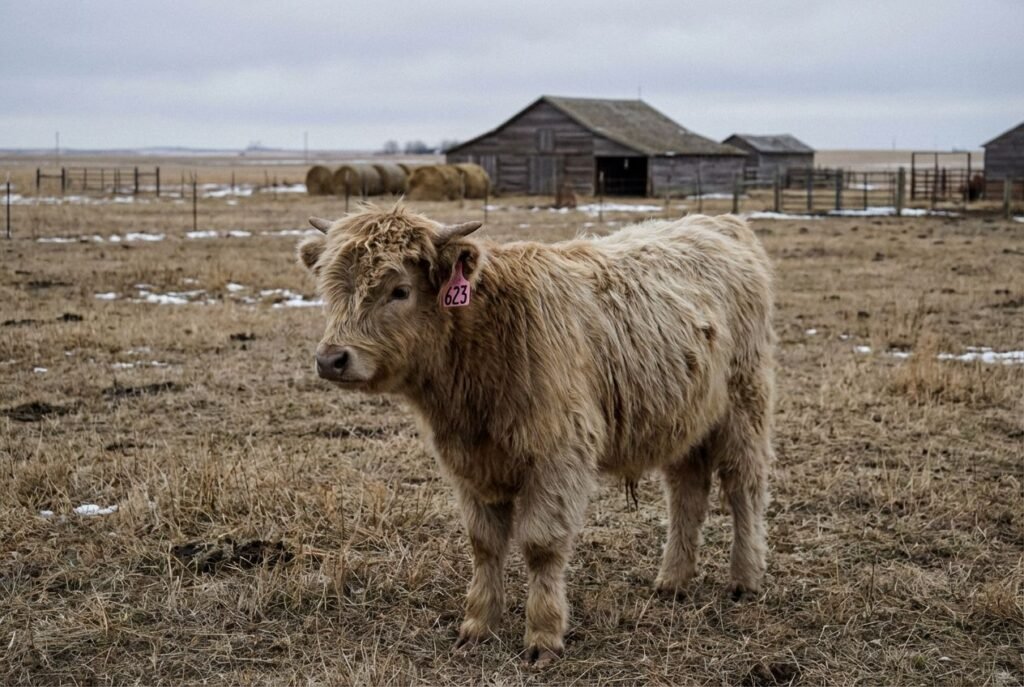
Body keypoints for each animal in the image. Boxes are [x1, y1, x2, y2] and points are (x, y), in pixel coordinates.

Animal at [296, 204, 775, 667]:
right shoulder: (471, 463)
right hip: (685, 421)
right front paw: (477, 624)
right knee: (687, 493)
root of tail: (717, 221)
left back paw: (745, 578)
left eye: (399, 290)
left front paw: (543, 635)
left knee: (743, 488)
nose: (331, 359)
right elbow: (484, 544)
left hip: (744, 407)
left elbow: (542, 545)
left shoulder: (558, 456)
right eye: (331, 287)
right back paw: (673, 580)